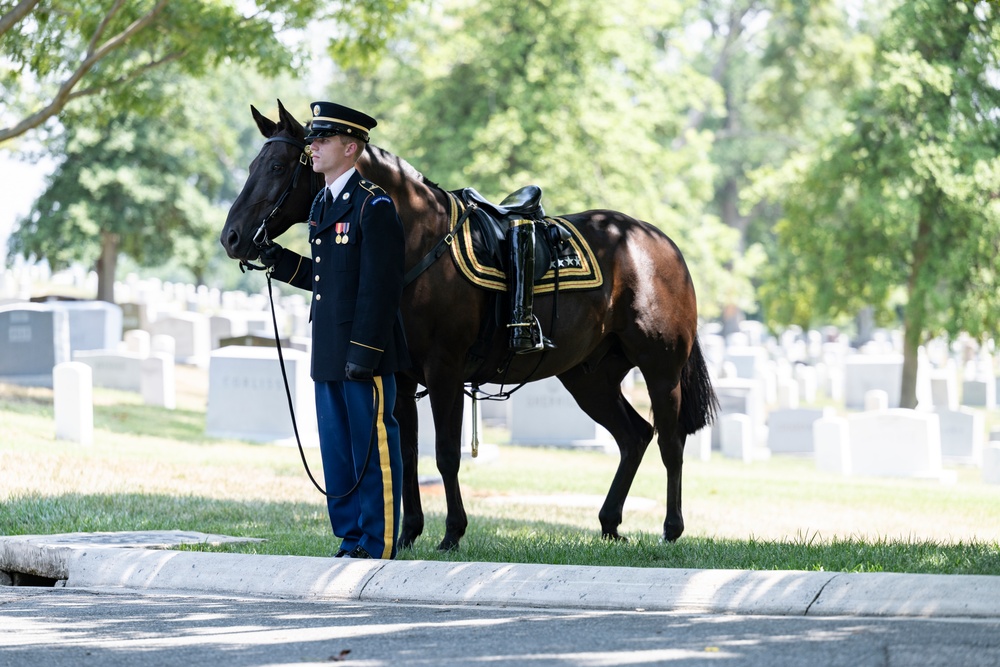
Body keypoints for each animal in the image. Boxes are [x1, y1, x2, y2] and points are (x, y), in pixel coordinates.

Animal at [222, 99, 716, 548]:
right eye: (252, 165)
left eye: (279, 166)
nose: (232, 237)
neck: (417, 239)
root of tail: (659, 242)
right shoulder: (400, 375)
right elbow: (406, 453)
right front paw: (408, 532)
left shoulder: (444, 372)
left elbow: (444, 455)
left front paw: (451, 533)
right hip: (588, 377)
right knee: (634, 436)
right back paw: (610, 523)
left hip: (661, 370)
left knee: (670, 442)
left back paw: (671, 529)